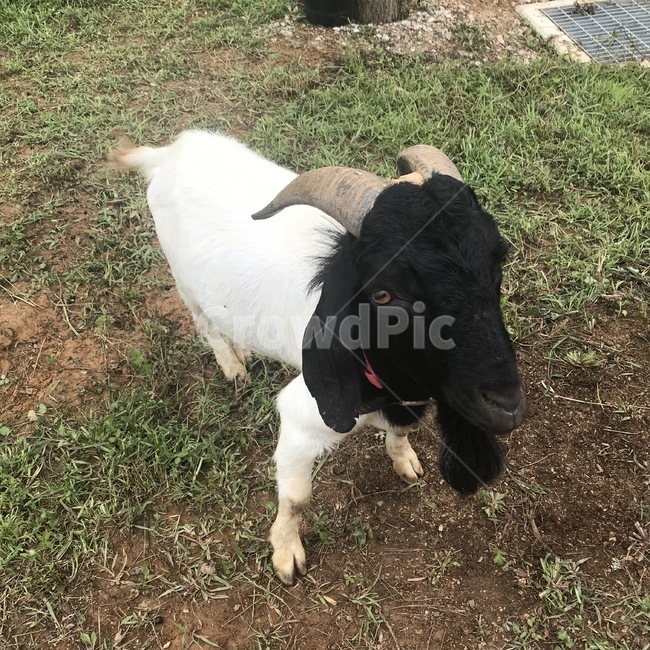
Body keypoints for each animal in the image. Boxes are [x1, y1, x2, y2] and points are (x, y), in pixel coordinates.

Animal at [111, 130, 527, 585]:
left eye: (497, 263)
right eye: (383, 293)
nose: (506, 405)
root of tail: (170, 154)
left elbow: (402, 429)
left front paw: (405, 461)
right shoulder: (303, 416)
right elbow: (297, 497)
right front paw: (285, 554)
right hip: (184, 282)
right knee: (206, 325)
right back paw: (234, 366)